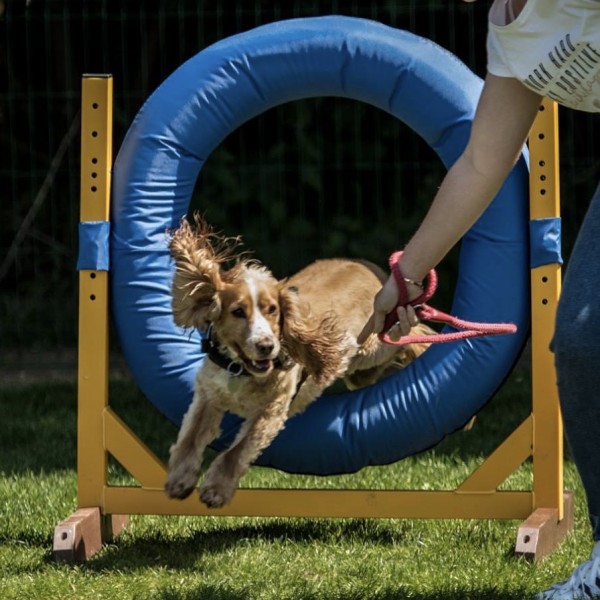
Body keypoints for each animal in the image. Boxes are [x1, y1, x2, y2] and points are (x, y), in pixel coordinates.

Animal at [165, 216, 436, 506]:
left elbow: (237, 450)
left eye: (273, 310)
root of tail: (371, 267)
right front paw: (179, 480)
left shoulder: (271, 411)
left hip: (371, 345)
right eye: (238, 312)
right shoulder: (208, 395)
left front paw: (216, 489)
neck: (241, 369)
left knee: (410, 336)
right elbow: (190, 438)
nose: (266, 346)